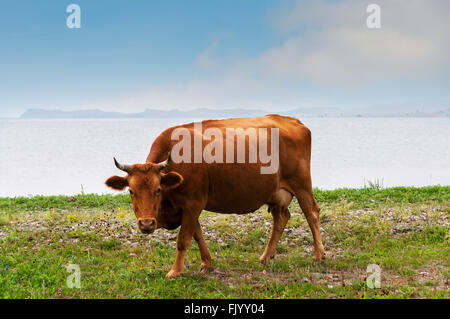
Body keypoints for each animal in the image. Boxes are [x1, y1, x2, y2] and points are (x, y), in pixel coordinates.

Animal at [105, 114, 324, 278]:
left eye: (158, 189)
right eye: (131, 191)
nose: (146, 223)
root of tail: (293, 121)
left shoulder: (193, 202)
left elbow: (183, 239)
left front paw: (175, 271)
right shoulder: (187, 208)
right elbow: (197, 235)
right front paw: (207, 263)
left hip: (301, 183)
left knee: (311, 213)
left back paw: (318, 254)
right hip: (277, 193)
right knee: (281, 218)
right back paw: (266, 256)